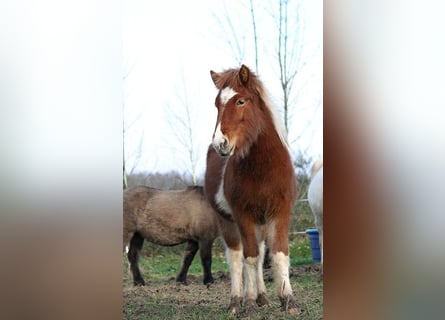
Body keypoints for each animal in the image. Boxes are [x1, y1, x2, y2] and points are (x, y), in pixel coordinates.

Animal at [203, 65, 300, 316]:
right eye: (216, 104)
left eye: (240, 101)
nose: (220, 143)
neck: (263, 168)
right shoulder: (243, 215)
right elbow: (249, 258)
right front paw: (246, 303)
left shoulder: (280, 212)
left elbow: (278, 255)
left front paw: (288, 300)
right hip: (228, 221)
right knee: (238, 258)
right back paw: (238, 301)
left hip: (261, 223)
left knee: (260, 251)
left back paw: (262, 297)